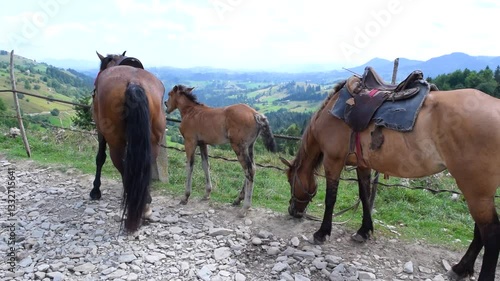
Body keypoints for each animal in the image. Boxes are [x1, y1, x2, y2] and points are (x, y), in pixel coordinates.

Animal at [90, 51, 166, 231]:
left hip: (115, 144)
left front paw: (95, 190)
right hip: (153, 144)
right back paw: (145, 204)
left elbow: (100, 159)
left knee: (122, 167)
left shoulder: (101, 132)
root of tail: (134, 83)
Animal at [165, 85, 278, 217]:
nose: (165, 103)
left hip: (238, 147)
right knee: (253, 168)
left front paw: (185, 197)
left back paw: (245, 207)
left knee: (248, 170)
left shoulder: (190, 142)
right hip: (250, 146)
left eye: (170, 94)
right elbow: (205, 165)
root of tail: (256, 114)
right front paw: (207, 194)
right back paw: (237, 200)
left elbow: (189, 166)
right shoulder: (203, 144)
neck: (191, 111)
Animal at [284, 79, 498, 278]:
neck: (330, 113)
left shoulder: (333, 161)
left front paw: (322, 233)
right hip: (479, 191)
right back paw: (462, 268)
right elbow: (364, 196)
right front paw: (364, 231)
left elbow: (330, 199)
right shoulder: (363, 164)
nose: (292, 211)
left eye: (290, 181)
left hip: (475, 189)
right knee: (480, 231)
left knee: (490, 233)